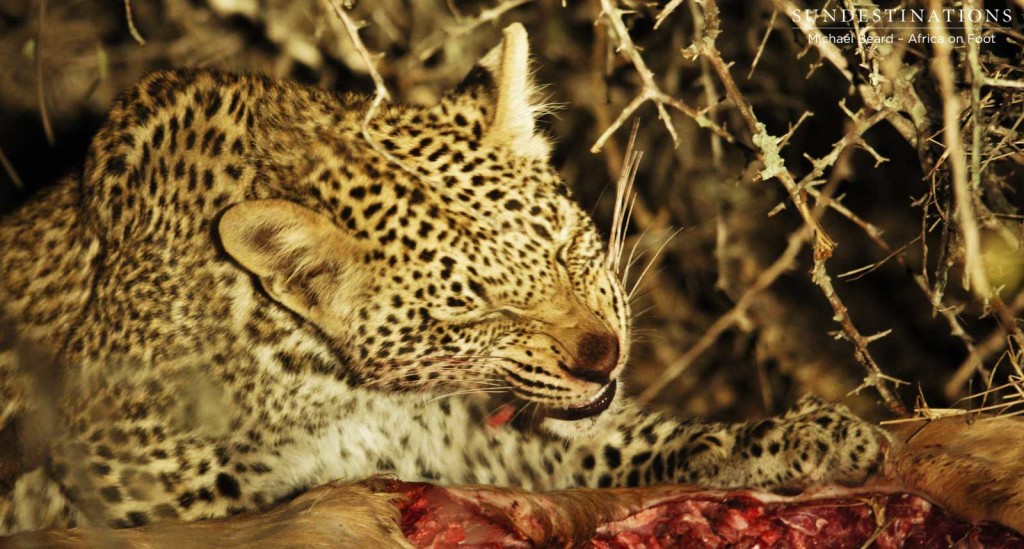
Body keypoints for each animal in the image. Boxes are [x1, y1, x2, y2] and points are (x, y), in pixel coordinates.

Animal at [0, 24, 880, 540]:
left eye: (567, 247)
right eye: (477, 312)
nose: (603, 356)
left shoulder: (457, 435)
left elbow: (630, 448)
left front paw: (792, 438)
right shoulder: (125, 477)